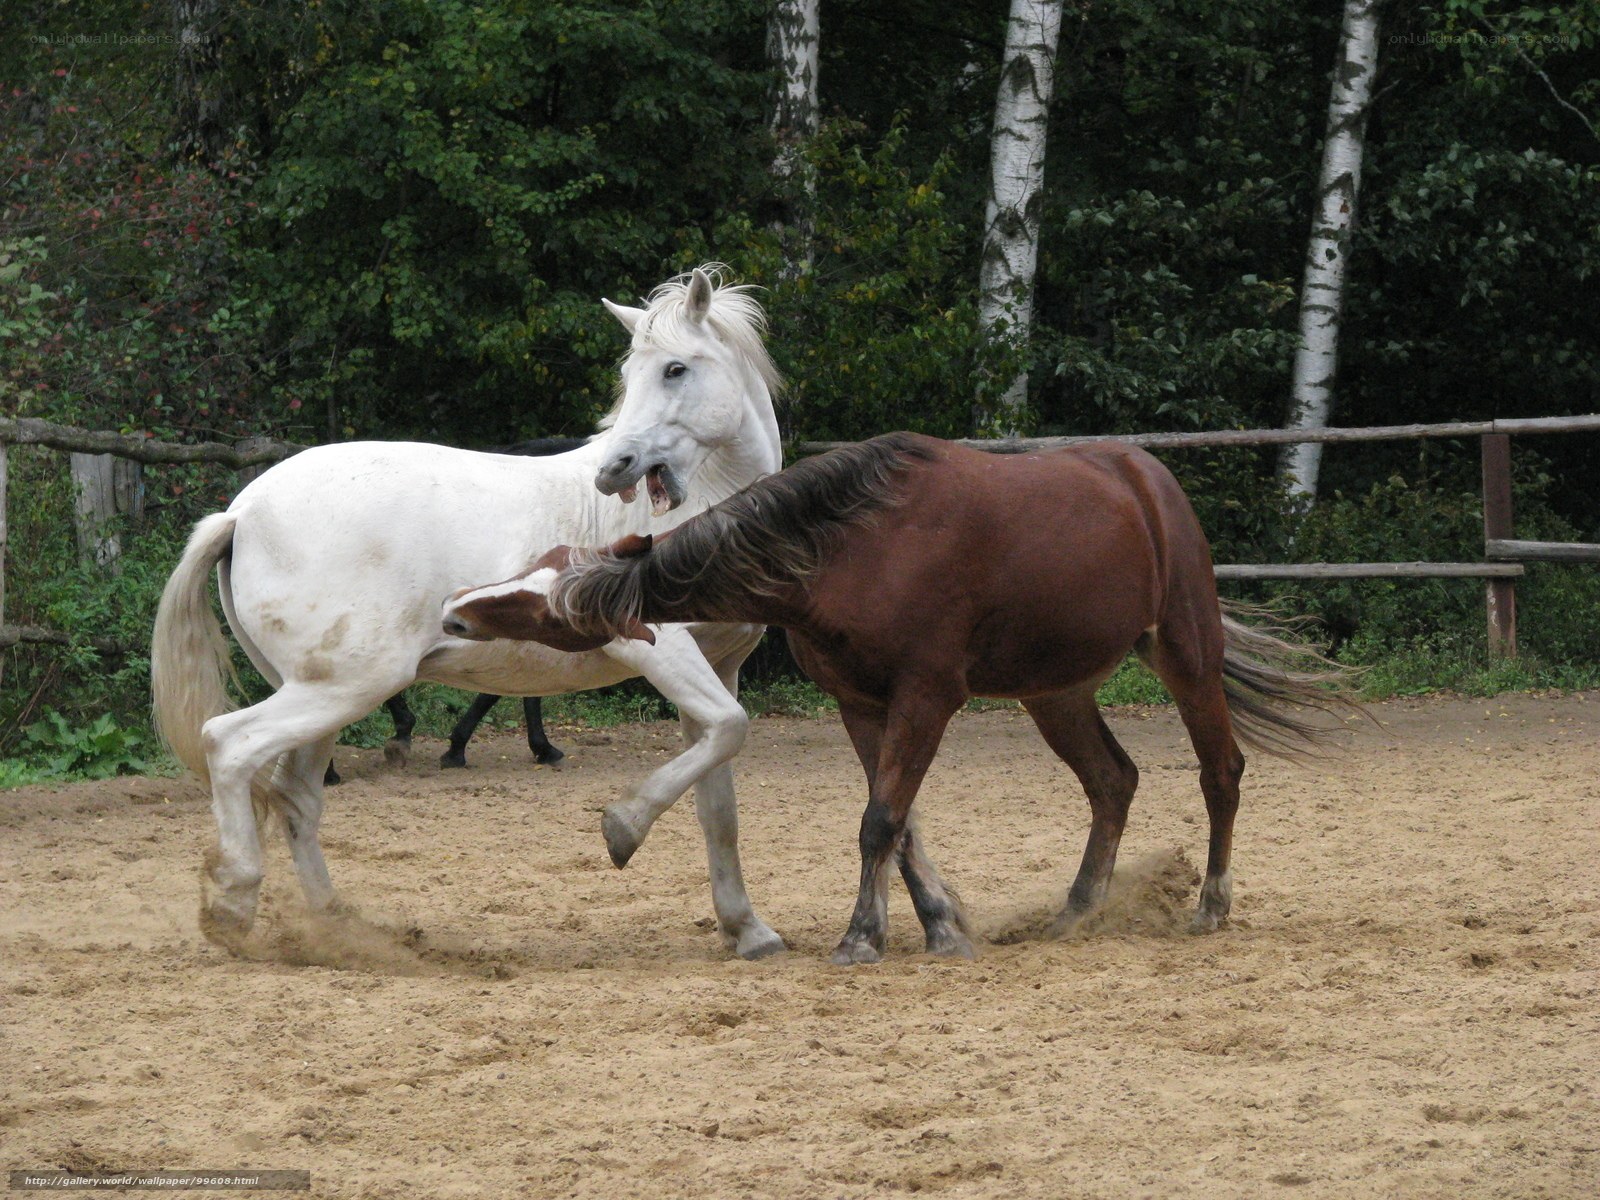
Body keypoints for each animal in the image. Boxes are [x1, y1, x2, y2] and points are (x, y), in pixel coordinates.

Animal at [152, 266, 789, 960]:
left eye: (675, 369)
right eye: (630, 373)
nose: (613, 469)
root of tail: (241, 511)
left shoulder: (719, 667)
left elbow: (719, 801)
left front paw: (747, 930)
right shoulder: (659, 648)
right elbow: (732, 730)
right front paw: (623, 827)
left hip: (320, 693)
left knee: (296, 797)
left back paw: (338, 930)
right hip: (349, 685)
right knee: (229, 745)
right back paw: (234, 906)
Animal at [442, 432, 1362, 965]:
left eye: (542, 607)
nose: (455, 608)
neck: (849, 546)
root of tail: (1147, 478)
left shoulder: (927, 694)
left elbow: (881, 818)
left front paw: (861, 937)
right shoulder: (863, 704)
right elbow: (898, 820)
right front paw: (931, 926)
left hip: (1183, 650)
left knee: (1220, 772)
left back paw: (1210, 905)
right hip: (1056, 691)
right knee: (1113, 782)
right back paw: (1077, 910)